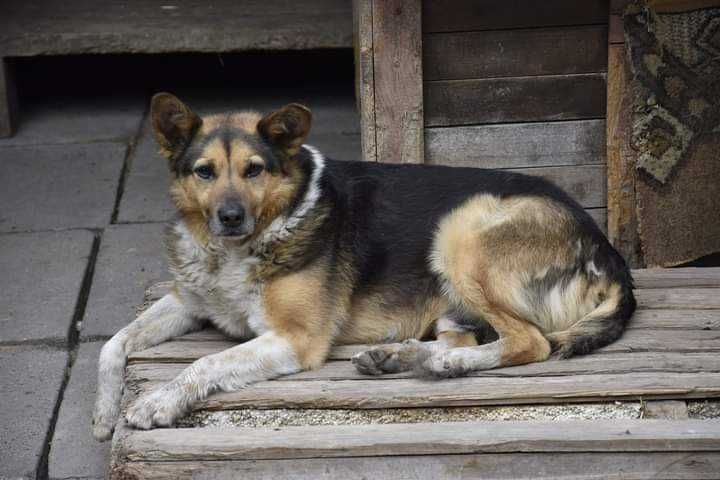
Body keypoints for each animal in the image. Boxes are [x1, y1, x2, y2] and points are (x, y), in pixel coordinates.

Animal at [91, 92, 636, 440]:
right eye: (204, 172)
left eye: (254, 170)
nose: (229, 217)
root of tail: (607, 249)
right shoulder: (188, 302)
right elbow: (112, 343)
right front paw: (102, 415)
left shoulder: (296, 339)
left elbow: (205, 362)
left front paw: (158, 401)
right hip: (453, 290)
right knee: (468, 338)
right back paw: (405, 357)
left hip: (461, 230)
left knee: (530, 342)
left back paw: (439, 363)